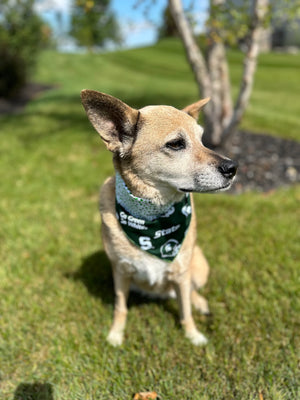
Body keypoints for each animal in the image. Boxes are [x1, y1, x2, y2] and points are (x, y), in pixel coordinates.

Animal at [80, 89, 237, 346]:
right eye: (176, 144)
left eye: (202, 139)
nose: (233, 168)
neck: (154, 218)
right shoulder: (120, 273)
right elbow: (120, 308)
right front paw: (116, 334)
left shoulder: (182, 275)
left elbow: (185, 311)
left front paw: (192, 335)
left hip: (199, 266)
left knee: (192, 292)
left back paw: (200, 303)